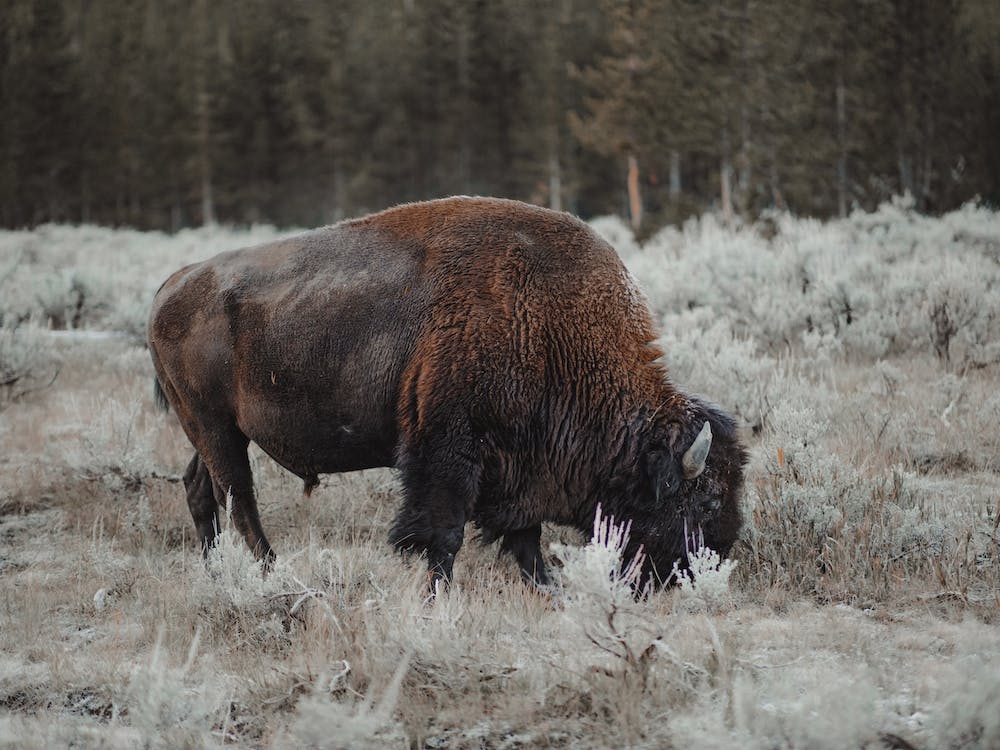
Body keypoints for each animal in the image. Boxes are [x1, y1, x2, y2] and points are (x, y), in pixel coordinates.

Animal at [148, 196, 745, 589]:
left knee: (201, 488)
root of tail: (173, 284)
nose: (711, 567)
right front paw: (439, 594)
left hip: (216, 433)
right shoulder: (450, 450)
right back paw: (273, 572)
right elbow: (444, 532)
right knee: (239, 497)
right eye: (707, 499)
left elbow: (523, 535)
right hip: (215, 427)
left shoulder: (517, 464)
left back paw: (219, 569)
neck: (552, 325)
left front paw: (547, 587)